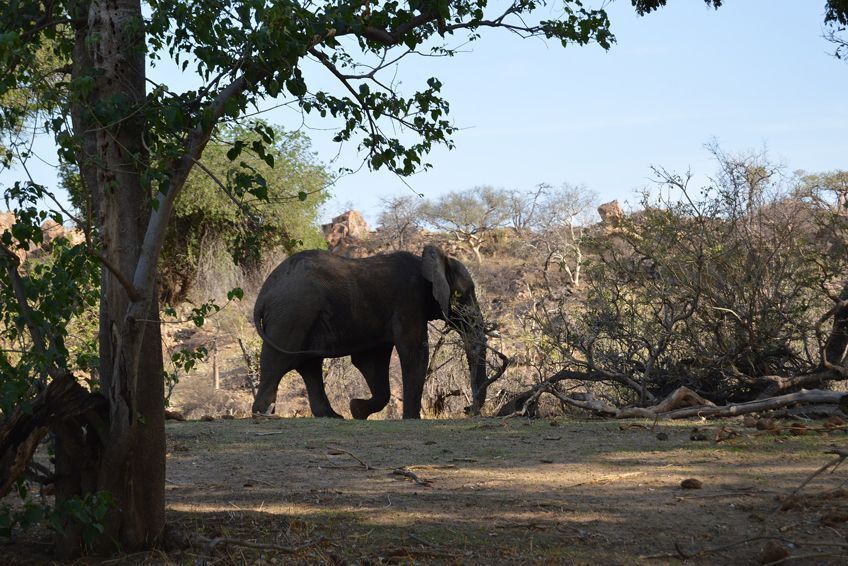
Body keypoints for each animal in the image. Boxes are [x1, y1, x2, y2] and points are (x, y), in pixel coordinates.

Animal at [250, 246, 490, 420]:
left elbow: (371, 361)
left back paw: (332, 416)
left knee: (309, 365)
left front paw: (357, 410)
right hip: (292, 313)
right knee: (278, 361)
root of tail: (264, 292)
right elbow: (414, 352)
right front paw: (411, 419)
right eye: (466, 294)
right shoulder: (408, 300)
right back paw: (263, 413)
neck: (429, 260)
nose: (468, 409)